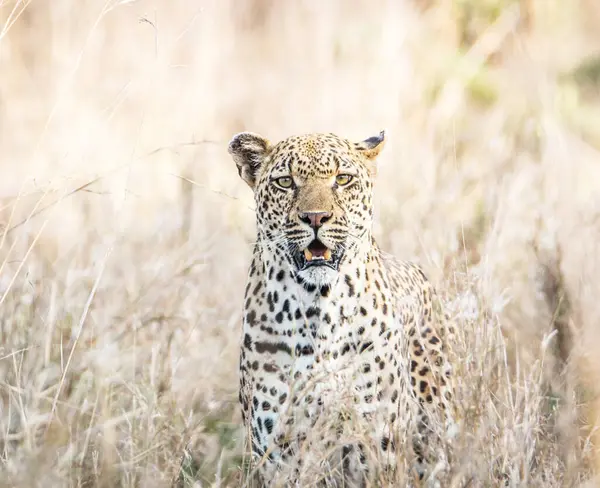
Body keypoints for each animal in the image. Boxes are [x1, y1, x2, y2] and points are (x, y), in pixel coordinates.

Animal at [227, 127, 458, 486]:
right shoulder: (276, 449)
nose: (315, 217)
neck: (318, 308)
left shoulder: (377, 441)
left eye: (343, 179)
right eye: (285, 182)